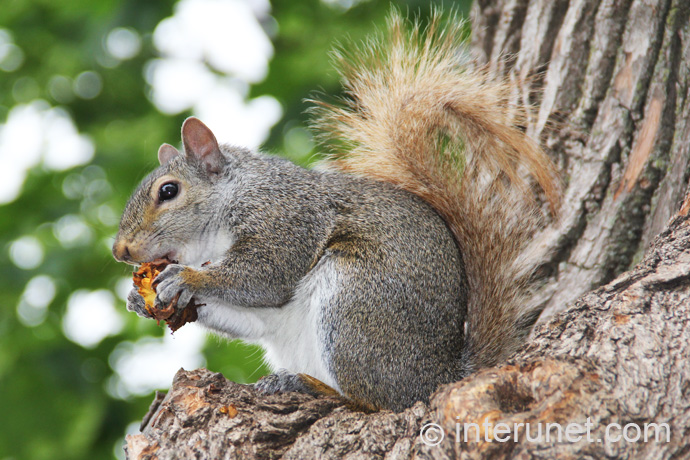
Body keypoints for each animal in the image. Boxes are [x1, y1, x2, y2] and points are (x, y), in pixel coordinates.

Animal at [111, 10, 560, 414]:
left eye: (168, 191)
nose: (120, 251)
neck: (232, 200)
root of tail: (440, 375)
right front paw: (139, 298)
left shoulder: (285, 217)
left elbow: (266, 274)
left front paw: (187, 277)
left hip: (356, 303)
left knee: (379, 401)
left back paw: (310, 387)